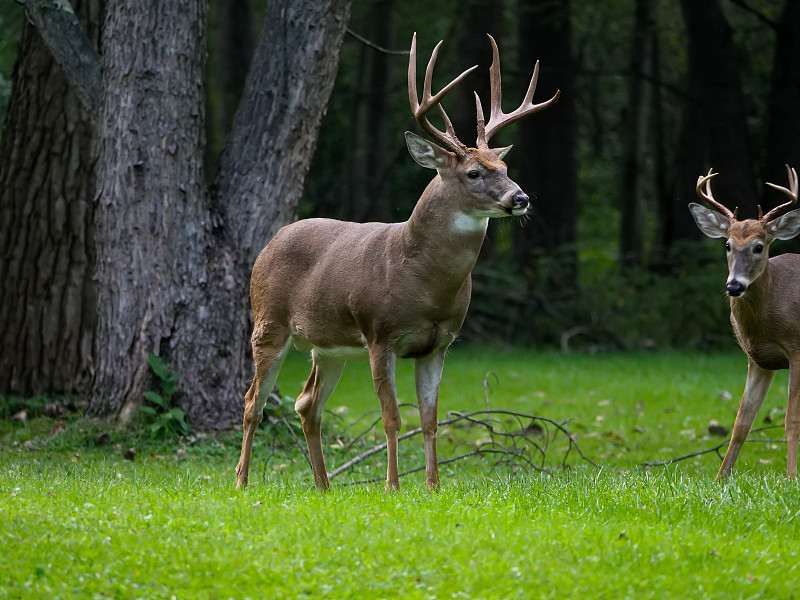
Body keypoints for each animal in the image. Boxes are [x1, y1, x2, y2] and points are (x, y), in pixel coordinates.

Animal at [234, 32, 560, 490]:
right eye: (474, 173)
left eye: (504, 163)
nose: (522, 198)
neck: (421, 279)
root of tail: (271, 241)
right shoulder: (380, 333)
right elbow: (391, 418)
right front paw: (392, 485)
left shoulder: (440, 344)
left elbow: (430, 420)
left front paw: (433, 486)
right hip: (268, 322)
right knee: (253, 401)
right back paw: (242, 481)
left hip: (328, 347)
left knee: (306, 402)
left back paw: (324, 485)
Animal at [688, 166, 800, 480]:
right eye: (727, 244)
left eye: (759, 246)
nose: (734, 286)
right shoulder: (759, 359)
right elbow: (741, 422)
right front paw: (720, 478)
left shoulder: (796, 348)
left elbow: (791, 419)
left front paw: (791, 477)